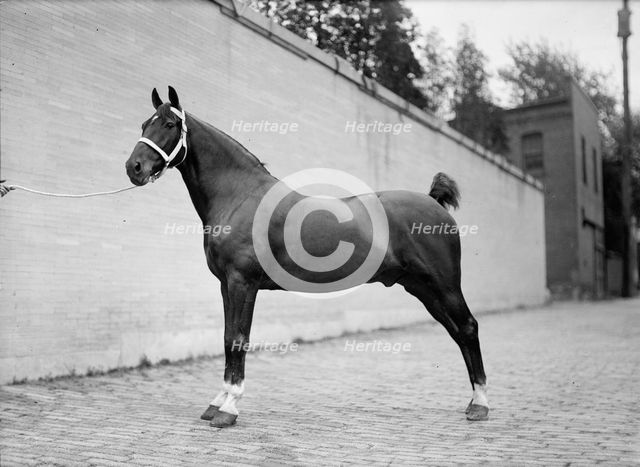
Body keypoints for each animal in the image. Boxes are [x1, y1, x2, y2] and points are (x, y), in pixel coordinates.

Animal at [125, 87, 489, 428]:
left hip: (444, 285)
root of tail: (434, 202)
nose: (134, 167)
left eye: (169, 124)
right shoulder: (225, 284)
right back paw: (473, 401)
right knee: (457, 332)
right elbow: (227, 338)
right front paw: (217, 402)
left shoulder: (243, 283)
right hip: (422, 288)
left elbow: (239, 340)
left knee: (468, 327)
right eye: (145, 123)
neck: (239, 196)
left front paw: (229, 409)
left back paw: (481, 405)